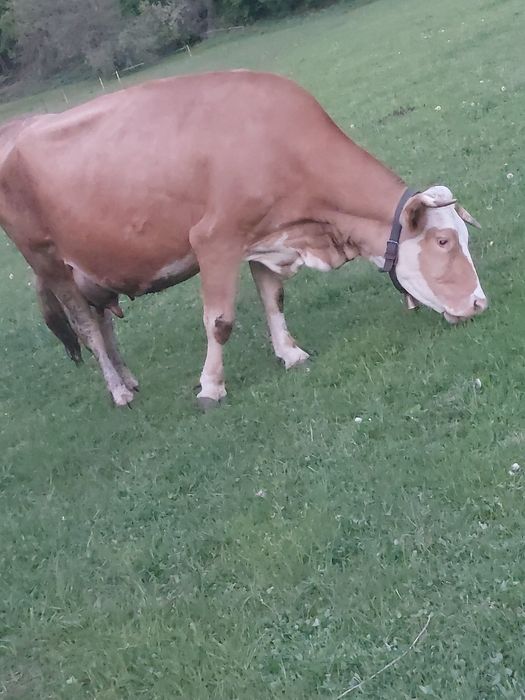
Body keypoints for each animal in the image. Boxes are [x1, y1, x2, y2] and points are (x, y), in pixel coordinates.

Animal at [0, 70, 487, 408]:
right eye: (443, 242)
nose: (479, 303)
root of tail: (19, 125)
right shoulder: (214, 240)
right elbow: (220, 321)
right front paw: (211, 388)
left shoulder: (268, 238)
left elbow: (274, 300)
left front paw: (291, 353)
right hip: (46, 259)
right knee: (86, 327)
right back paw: (119, 391)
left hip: (90, 265)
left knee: (101, 321)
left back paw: (129, 378)